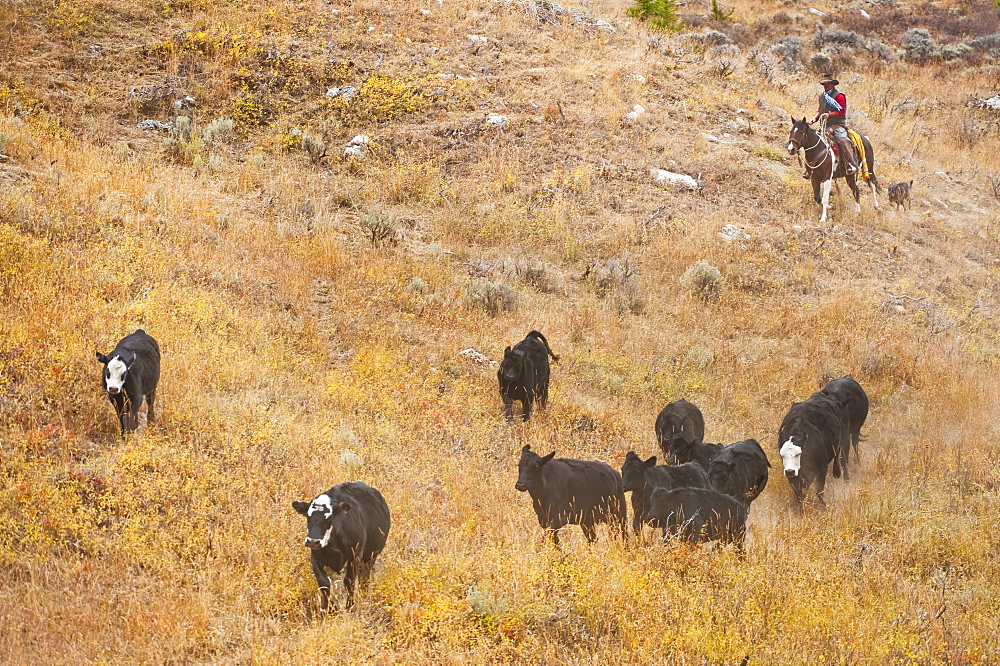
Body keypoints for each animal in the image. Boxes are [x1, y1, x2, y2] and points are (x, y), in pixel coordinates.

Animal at [292, 480, 388, 608]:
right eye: (308, 518)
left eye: (329, 519)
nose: (313, 541)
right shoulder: (315, 558)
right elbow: (324, 582)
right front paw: (329, 607)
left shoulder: (355, 558)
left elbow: (349, 582)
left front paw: (350, 606)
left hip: (370, 557)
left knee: (364, 578)